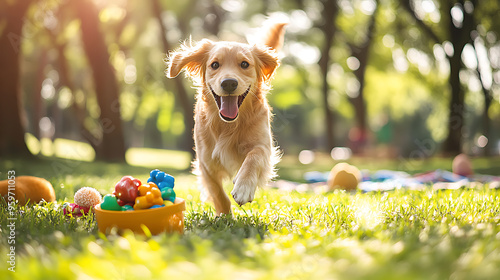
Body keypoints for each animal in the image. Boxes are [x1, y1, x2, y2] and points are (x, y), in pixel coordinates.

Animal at [167, 23, 286, 214]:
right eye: (215, 64)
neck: (228, 125)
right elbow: (217, 193)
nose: (229, 83)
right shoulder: (205, 162)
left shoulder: (263, 146)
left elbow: (254, 157)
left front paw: (244, 187)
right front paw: (224, 215)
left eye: (244, 64)